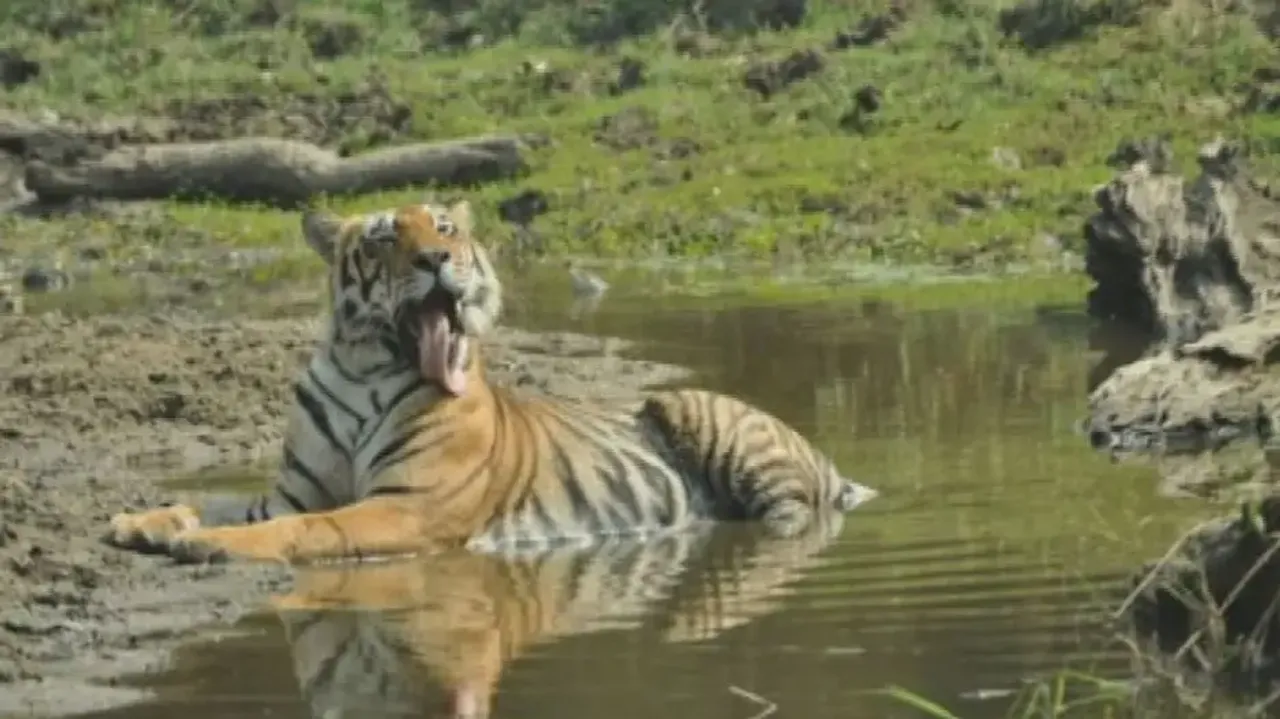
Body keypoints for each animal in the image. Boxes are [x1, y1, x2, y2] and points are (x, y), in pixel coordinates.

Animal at [105, 199, 877, 565]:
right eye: (385, 238)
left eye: (444, 227)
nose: (437, 260)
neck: (363, 368)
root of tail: (827, 457)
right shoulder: (289, 490)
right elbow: (213, 500)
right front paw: (141, 520)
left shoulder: (405, 507)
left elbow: (307, 527)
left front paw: (206, 543)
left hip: (701, 415)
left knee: (790, 514)